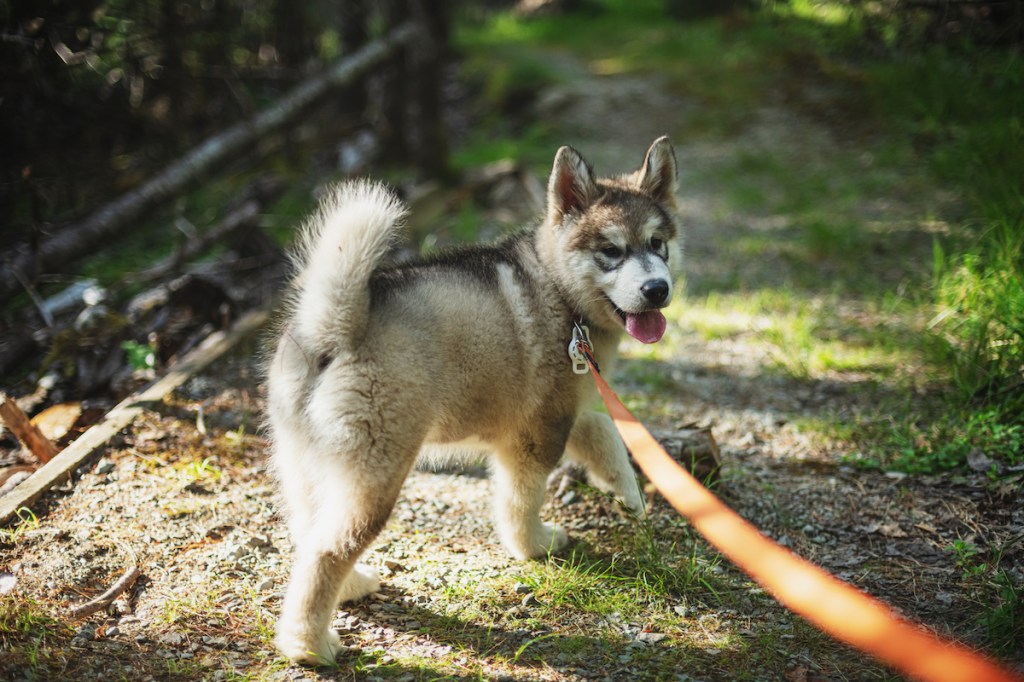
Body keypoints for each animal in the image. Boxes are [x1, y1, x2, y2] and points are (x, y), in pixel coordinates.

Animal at [266, 135, 679, 659]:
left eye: (657, 243)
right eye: (611, 250)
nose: (657, 289)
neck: (560, 292)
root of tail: (335, 326)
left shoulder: (565, 408)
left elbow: (606, 435)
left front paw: (627, 493)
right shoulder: (537, 434)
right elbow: (522, 500)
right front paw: (534, 546)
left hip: (309, 462)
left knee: (308, 530)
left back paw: (351, 587)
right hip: (375, 472)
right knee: (326, 549)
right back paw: (308, 645)